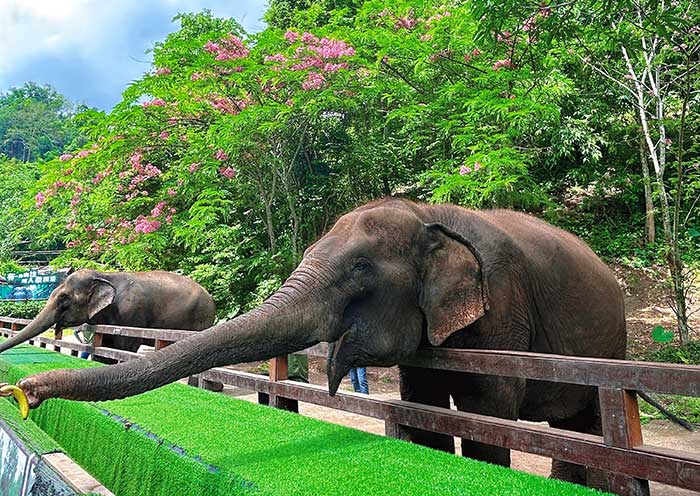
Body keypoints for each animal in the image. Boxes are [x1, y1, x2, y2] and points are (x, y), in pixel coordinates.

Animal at [0, 269, 216, 365]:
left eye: (64, 298)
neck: (105, 275)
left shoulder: (131, 313)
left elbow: (123, 347)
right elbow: (106, 345)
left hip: (199, 319)